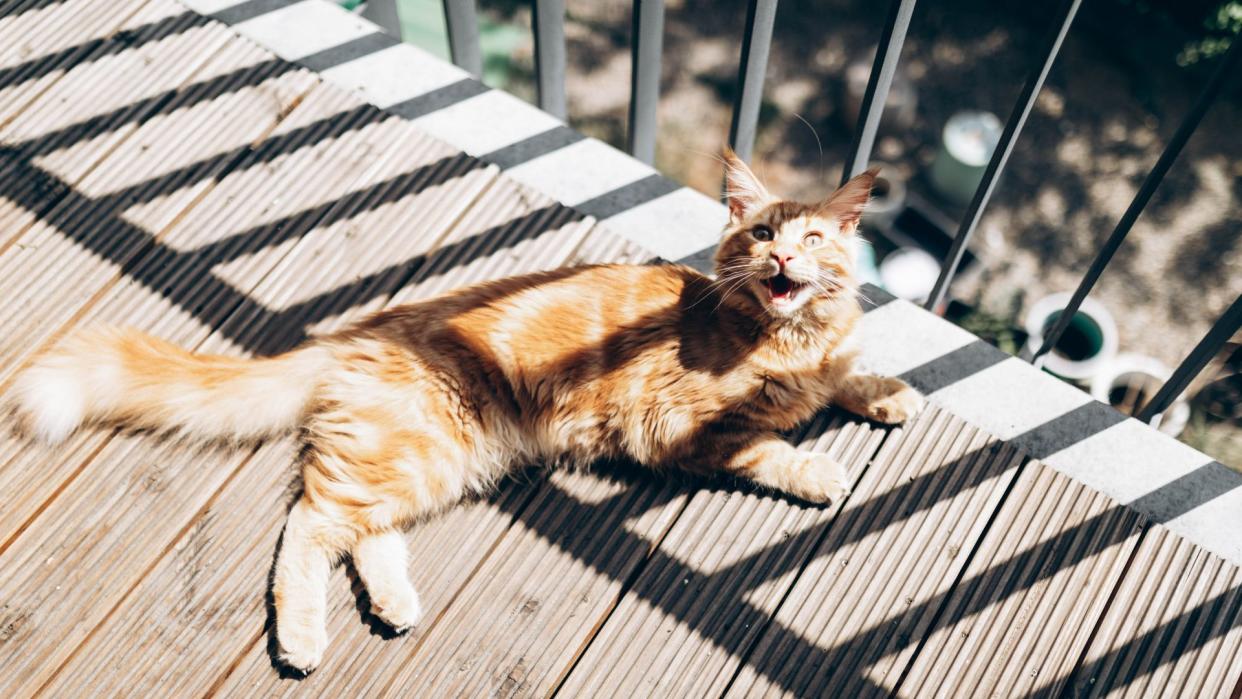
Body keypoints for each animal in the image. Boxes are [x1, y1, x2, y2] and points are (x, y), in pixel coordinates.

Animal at [9, 152, 924, 670]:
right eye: (763, 234)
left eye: (811, 240)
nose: (780, 259)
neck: (789, 336)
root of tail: (352, 332)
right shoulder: (680, 430)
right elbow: (764, 442)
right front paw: (819, 467)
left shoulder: (823, 362)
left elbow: (847, 377)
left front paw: (887, 393)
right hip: (413, 449)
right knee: (307, 525)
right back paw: (301, 641)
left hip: (431, 461)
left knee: (359, 531)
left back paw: (393, 604)